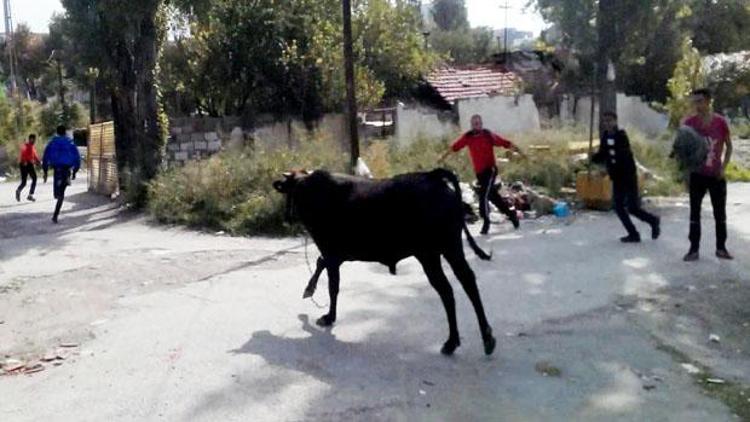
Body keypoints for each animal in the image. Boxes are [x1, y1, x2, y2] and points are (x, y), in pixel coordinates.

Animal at [274, 168, 496, 356]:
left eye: (289, 192)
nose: (287, 218)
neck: (310, 189)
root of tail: (432, 176)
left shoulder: (331, 253)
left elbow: (332, 286)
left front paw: (328, 316)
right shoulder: (336, 255)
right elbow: (322, 268)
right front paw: (310, 291)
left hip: (434, 253)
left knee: (455, 287)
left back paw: (467, 340)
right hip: (445, 251)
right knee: (459, 285)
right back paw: (473, 339)